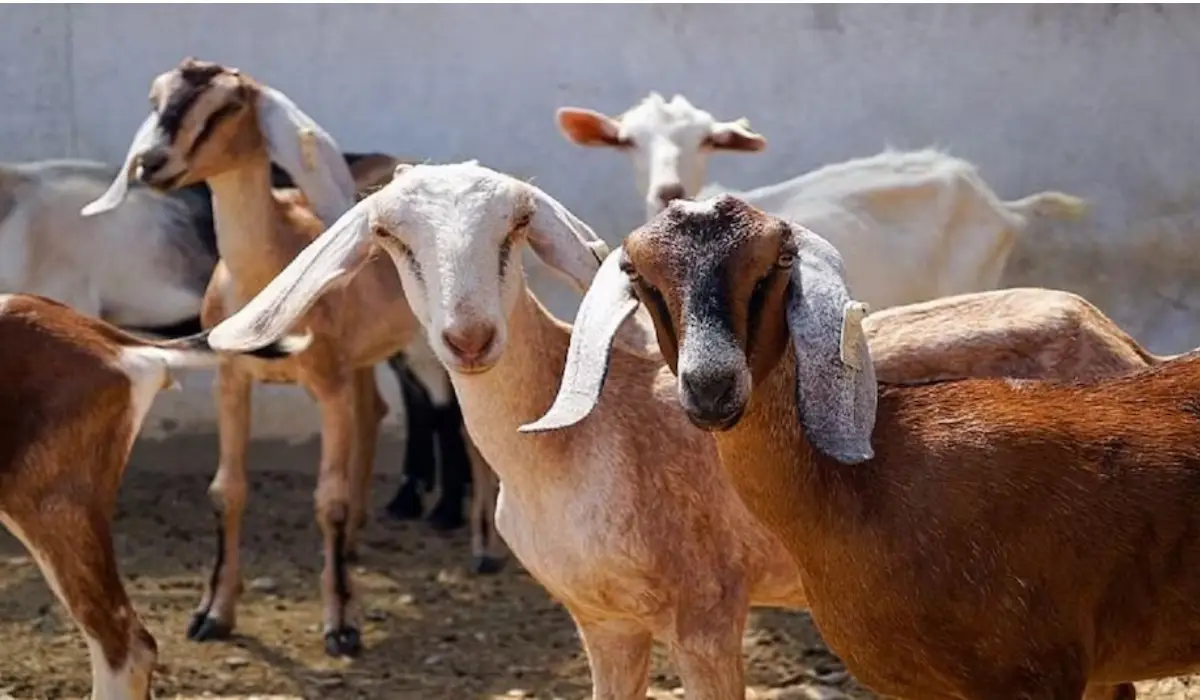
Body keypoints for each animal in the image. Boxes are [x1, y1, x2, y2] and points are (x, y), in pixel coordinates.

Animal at [80, 56, 432, 657]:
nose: (153, 163)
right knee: (374, 413)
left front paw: (342, 626)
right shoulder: (232, 381)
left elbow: (329, 500)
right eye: (156, 98)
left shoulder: (328, 385)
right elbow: (227, 491)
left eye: (227, 105)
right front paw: (212, 614)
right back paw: (355, 545)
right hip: (361, 361)